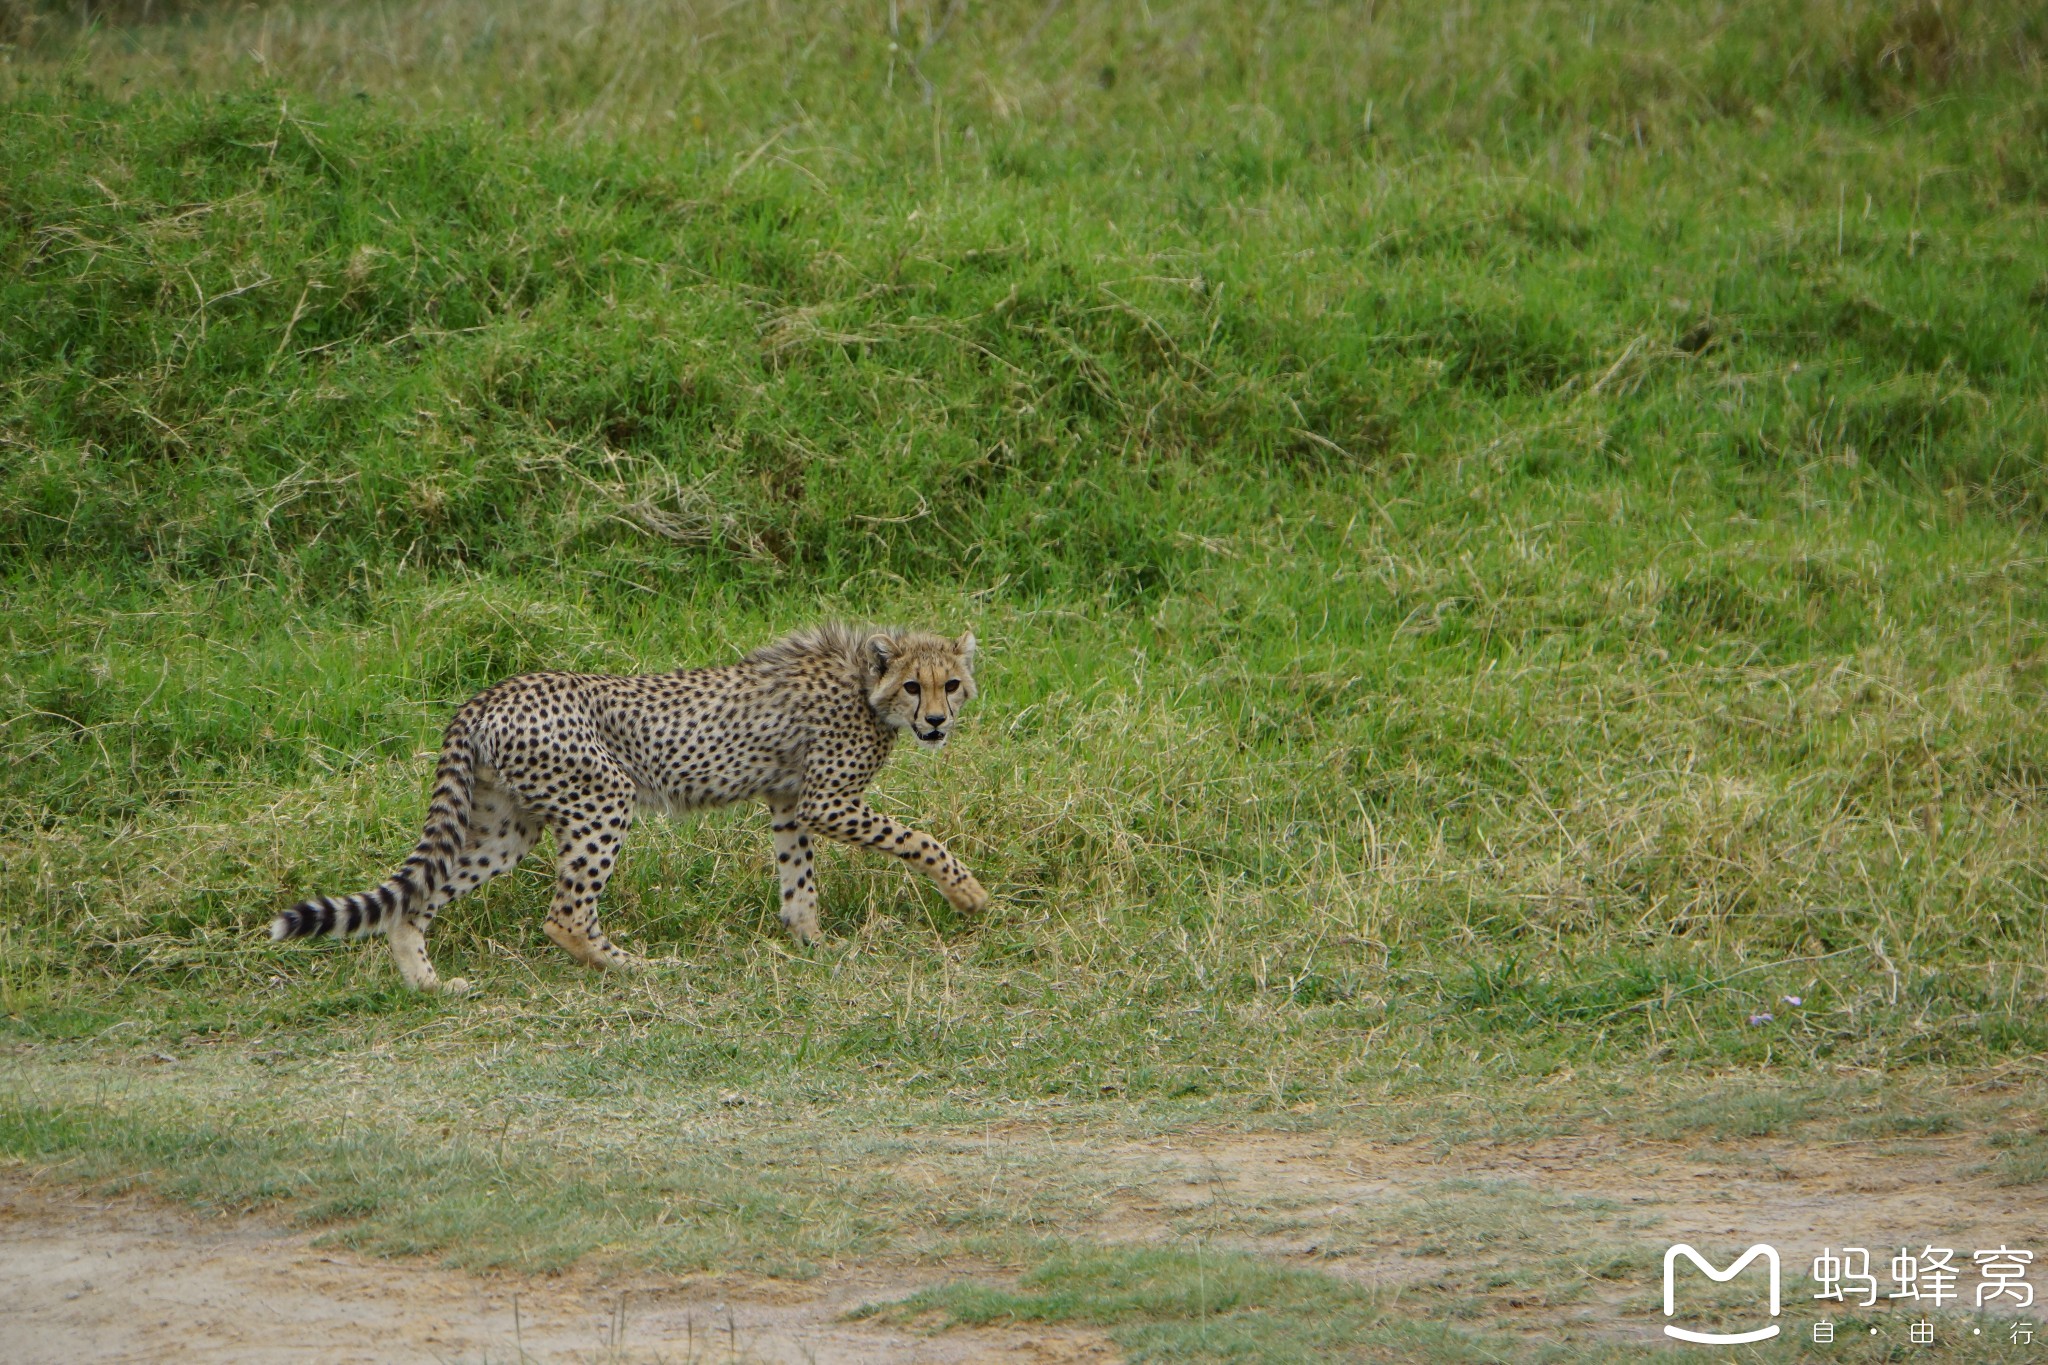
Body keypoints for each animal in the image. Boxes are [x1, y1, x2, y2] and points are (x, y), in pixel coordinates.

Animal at [266, 622, 991, 994]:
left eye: (952, 683)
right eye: (915, 686)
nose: (936, 721)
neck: (866, 685)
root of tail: (492, 692)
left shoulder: (788, 801)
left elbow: (799, 880)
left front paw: (811, 940)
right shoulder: (824, 800)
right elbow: (919, 838)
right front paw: (970, 894)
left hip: (506, 827)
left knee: (415, 900)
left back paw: (427, 983)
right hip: (602, 798)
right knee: (565, 915)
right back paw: (636, 967)